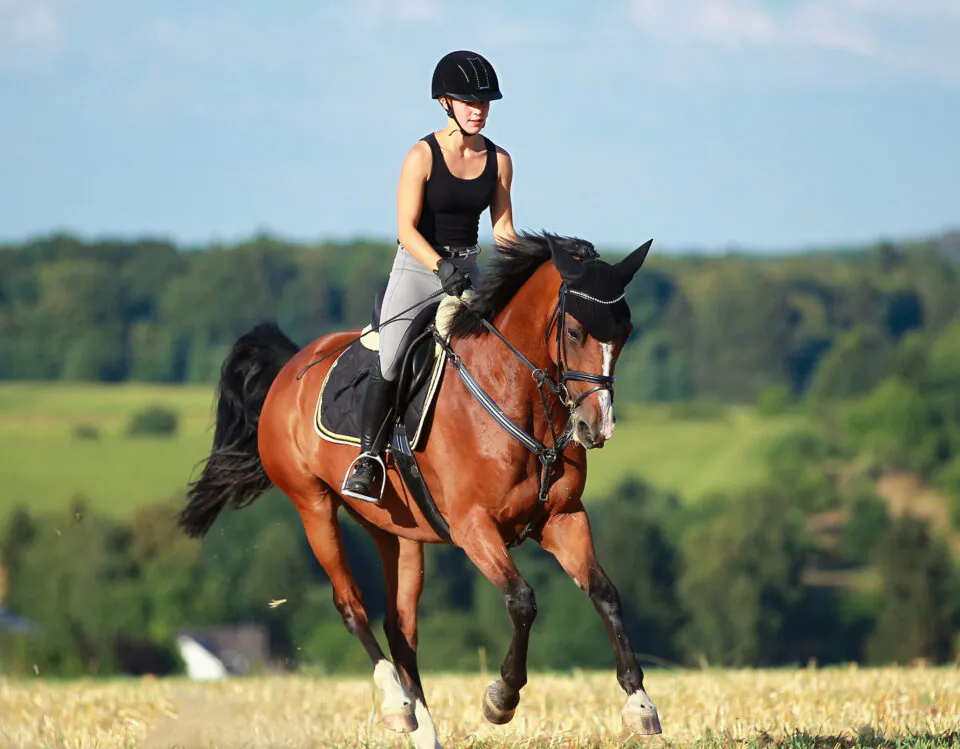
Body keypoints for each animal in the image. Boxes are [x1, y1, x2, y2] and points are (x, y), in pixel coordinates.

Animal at [177, 232, 661, 748]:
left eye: (625, 333)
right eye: (573, 332)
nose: (596, 427)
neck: (518, 397)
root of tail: (292, 365)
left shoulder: (563, 518)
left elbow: (605, 592)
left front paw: (640, 704)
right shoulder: (473, 526)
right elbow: (522, 601)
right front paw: (501, 699)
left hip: (396, 530)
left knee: (400, 626)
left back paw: (422, 727)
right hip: (312, 504)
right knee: (352, 605)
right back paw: (395, 702)